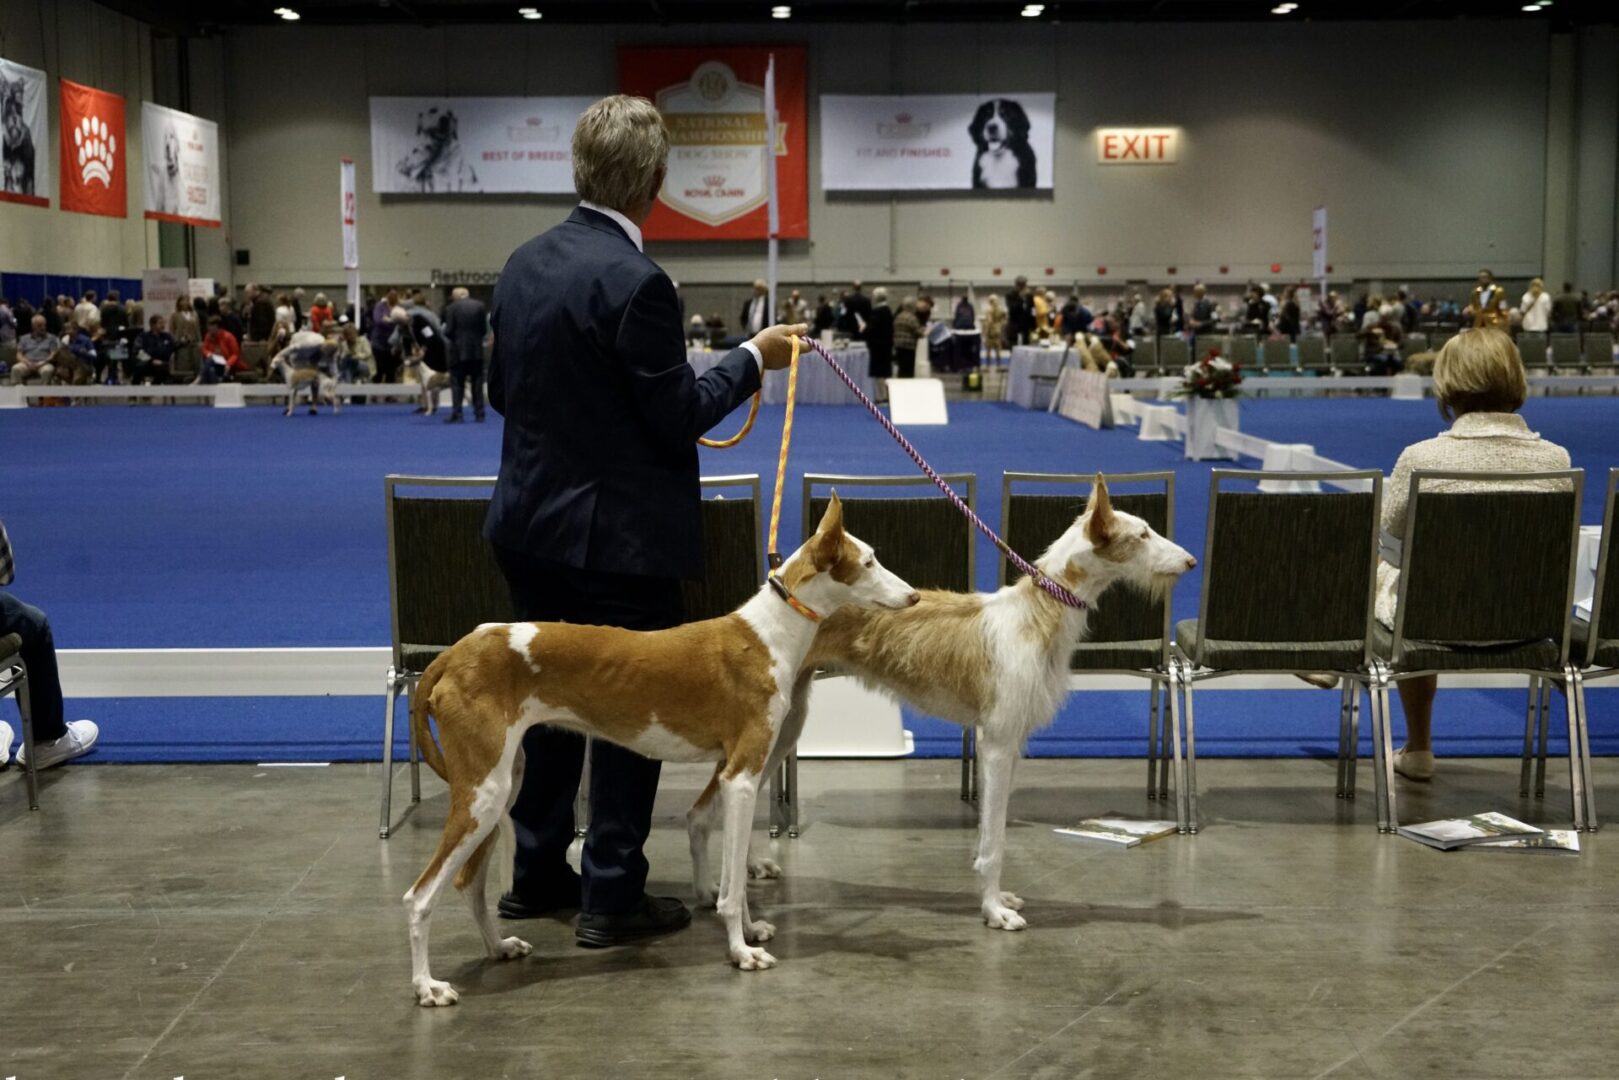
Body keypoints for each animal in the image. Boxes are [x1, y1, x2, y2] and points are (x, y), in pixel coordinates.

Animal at [403, 495, 919, 1003]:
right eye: (869, 562)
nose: (915, 596)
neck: (771, 635)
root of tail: (456, 652)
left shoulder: (735, 773)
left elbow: (736, 875)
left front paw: (751, 929)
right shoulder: (741, 777)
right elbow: (732, 885)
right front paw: (741, 951)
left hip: (501, 786)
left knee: (469, 883)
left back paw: (497, 947)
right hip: (482, 794)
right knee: (419, 896)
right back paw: (427, 985)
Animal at [689, 476, 1198, 932]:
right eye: (1143, 534)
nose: (1192, 560)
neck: (1038, 614)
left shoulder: (1008, 746)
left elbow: (991, 832)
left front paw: (996, 898)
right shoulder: (997, 744)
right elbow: (994, 842)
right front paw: (994, 911)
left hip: (779, 731)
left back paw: (746, 868)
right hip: (771, 732)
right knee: (704, 812)